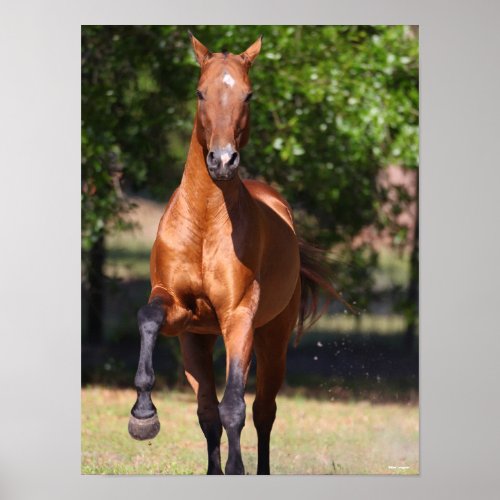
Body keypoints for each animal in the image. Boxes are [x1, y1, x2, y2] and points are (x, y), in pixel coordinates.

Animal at [127, 33, 350, 474]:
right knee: (207, 412)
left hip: (271, 338)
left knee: (262, 411)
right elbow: (148, 318)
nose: (223, 161)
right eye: (200, 92)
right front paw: (143, 416)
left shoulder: (239, 318)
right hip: (197, 340)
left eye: (248, 95)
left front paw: (236, 468)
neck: (204, 224)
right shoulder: (177, 309)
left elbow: (235, 408)